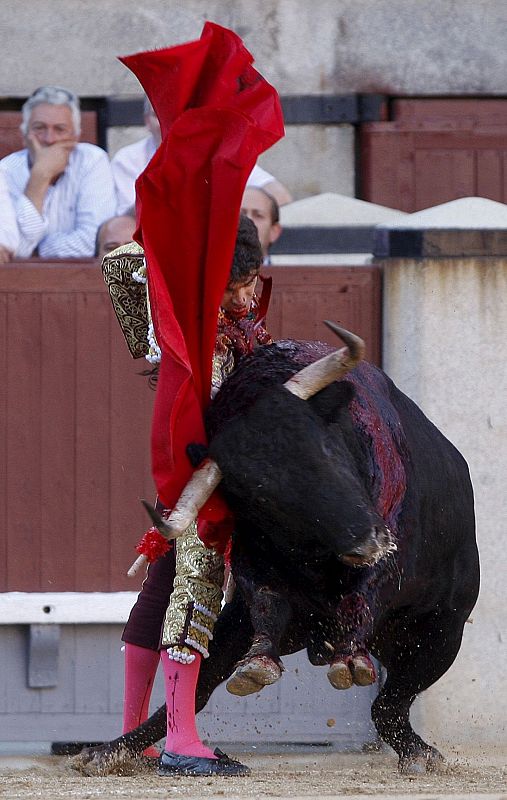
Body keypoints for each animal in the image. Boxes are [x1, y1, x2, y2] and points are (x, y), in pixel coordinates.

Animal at [77, 325, 479, 775]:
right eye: (262, 496)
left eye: (326, 448)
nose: (366, 541)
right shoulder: (255, 564)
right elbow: (266, 604)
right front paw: (258, 664)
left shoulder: (391, 555)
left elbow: (364, 596)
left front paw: (351, 658)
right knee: (194, 684)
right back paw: (112, 751)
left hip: (442, 632)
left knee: (390, 703)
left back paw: (418, 751)